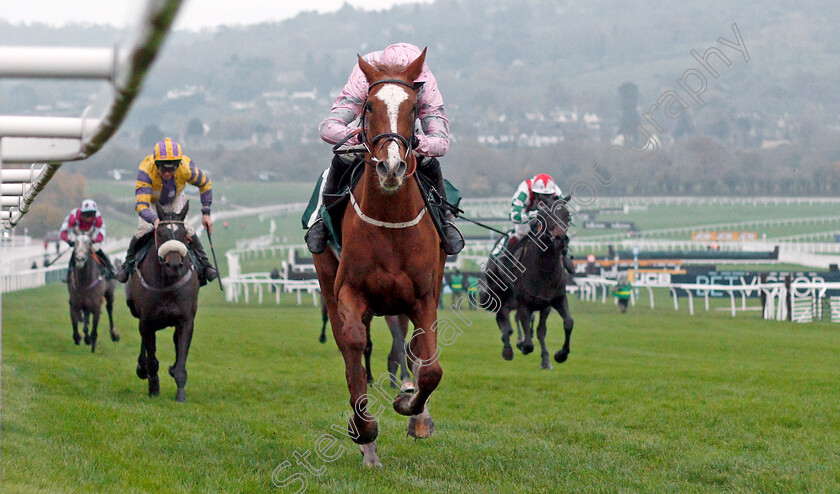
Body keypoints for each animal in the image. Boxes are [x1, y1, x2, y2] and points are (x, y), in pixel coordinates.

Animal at [125, 203, 201, 404]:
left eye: (184, 235)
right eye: (161, 234)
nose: (173, 265)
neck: (167, 282)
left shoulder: (186, 320)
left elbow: (181, 356)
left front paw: (180, 394)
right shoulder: (147, 321)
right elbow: (152, 358)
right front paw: (154, 388)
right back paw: (141, 367)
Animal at [314, 49, 446, 466]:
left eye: (414, 106)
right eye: (369, 105)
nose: (391, 166)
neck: (389, 221)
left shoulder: (424, 297)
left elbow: (430, 368)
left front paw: (411, 409)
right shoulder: (350, 292)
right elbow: (354, 347)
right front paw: (364, 430)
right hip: (329, 280)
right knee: (349, 347)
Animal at [482, 197, 576, 370]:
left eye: (567, 214)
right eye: (546, 215)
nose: (561, 239)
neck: (544, 270)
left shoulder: (554, 300)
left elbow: (565, 323)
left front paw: (558, 355)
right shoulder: (524, 303)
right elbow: (528, 341)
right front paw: (523, 346)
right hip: (498, 291)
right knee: (502, 317)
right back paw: (507, 349)